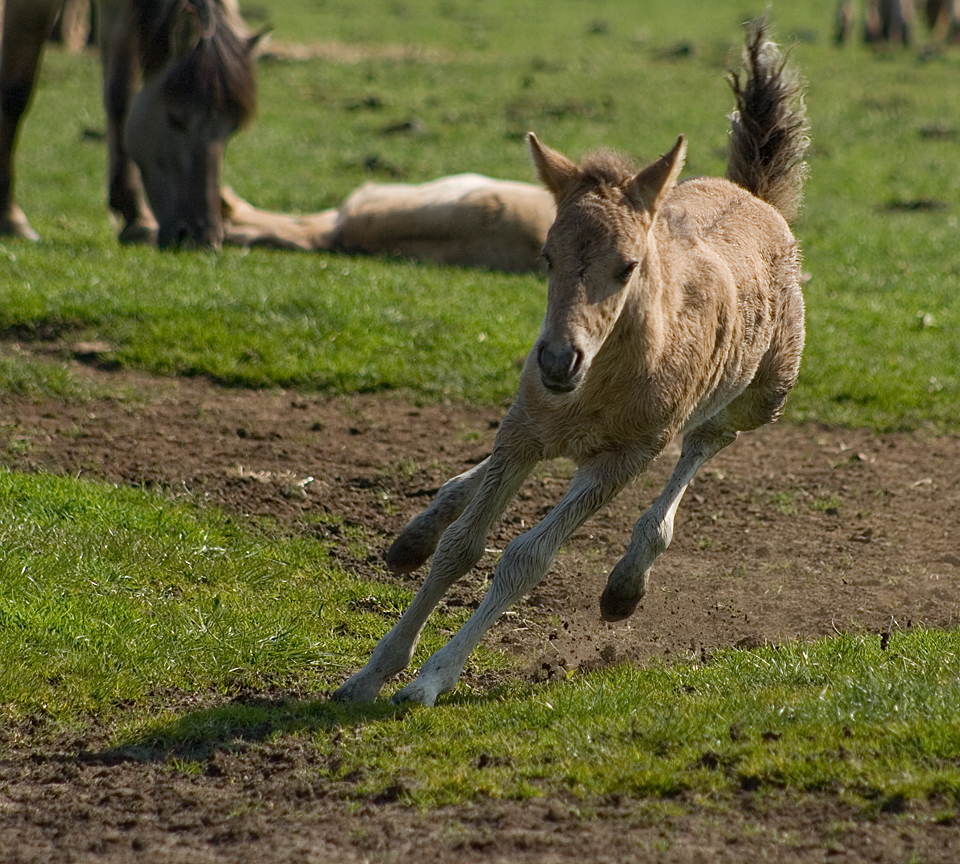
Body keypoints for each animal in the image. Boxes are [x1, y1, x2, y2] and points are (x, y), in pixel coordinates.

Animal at [0, 0, 260, 246]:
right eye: (174, 118)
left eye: (233, 129)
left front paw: (135, 217)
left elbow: (120, 96)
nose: (200, 238)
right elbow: (16, 93)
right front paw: (10, 217)